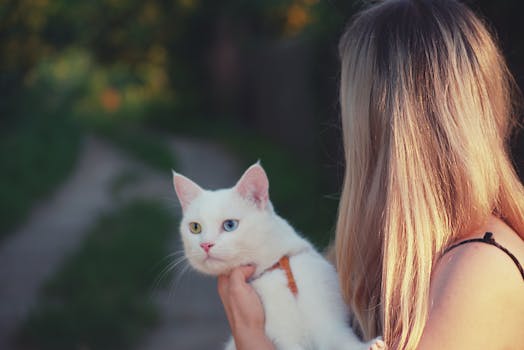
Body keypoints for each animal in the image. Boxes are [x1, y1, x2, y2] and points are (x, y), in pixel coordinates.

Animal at [174, 163, 382, 350]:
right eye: (195, 227)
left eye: (230, 225)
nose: (205, 245)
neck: (276, 270)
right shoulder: (283, 339)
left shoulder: (330, 323)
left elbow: (342, 339)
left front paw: (370, 345)